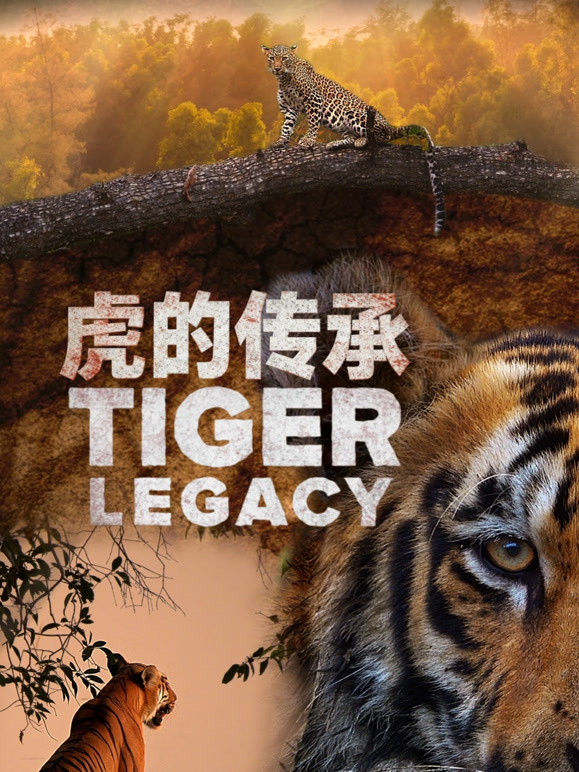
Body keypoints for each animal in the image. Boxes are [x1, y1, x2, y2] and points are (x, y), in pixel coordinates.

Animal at [261, 44, 446, 236]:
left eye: (284, 59)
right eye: (272, 58)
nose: (277, 68)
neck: (284, 79)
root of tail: (388, 124)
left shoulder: (314, 100)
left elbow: (313, 122)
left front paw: (308, 140)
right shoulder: (289, 109)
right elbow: (287, 127)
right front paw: (280, 141)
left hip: (354, 113)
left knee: (382, 137)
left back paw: (363, 141)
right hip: (342, 125)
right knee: (351, 137)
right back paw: (335, 144)